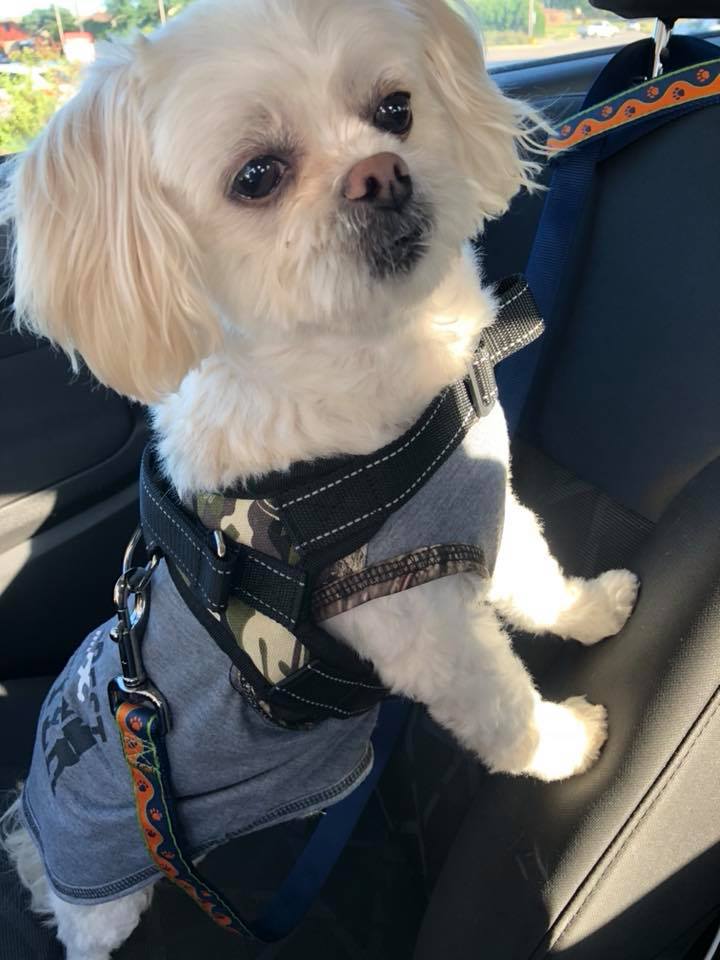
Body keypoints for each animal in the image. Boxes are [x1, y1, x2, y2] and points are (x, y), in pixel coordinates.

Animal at [1, 0, 640, 956]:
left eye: (396, 111)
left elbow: (541, 584)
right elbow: (502, 708)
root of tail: (36, 832)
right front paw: (564, 741)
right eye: (257, 176)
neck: (369, 366)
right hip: (106, 889)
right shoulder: (415, 622)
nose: (381, 174)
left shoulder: (481, 513)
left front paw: (597, 608)